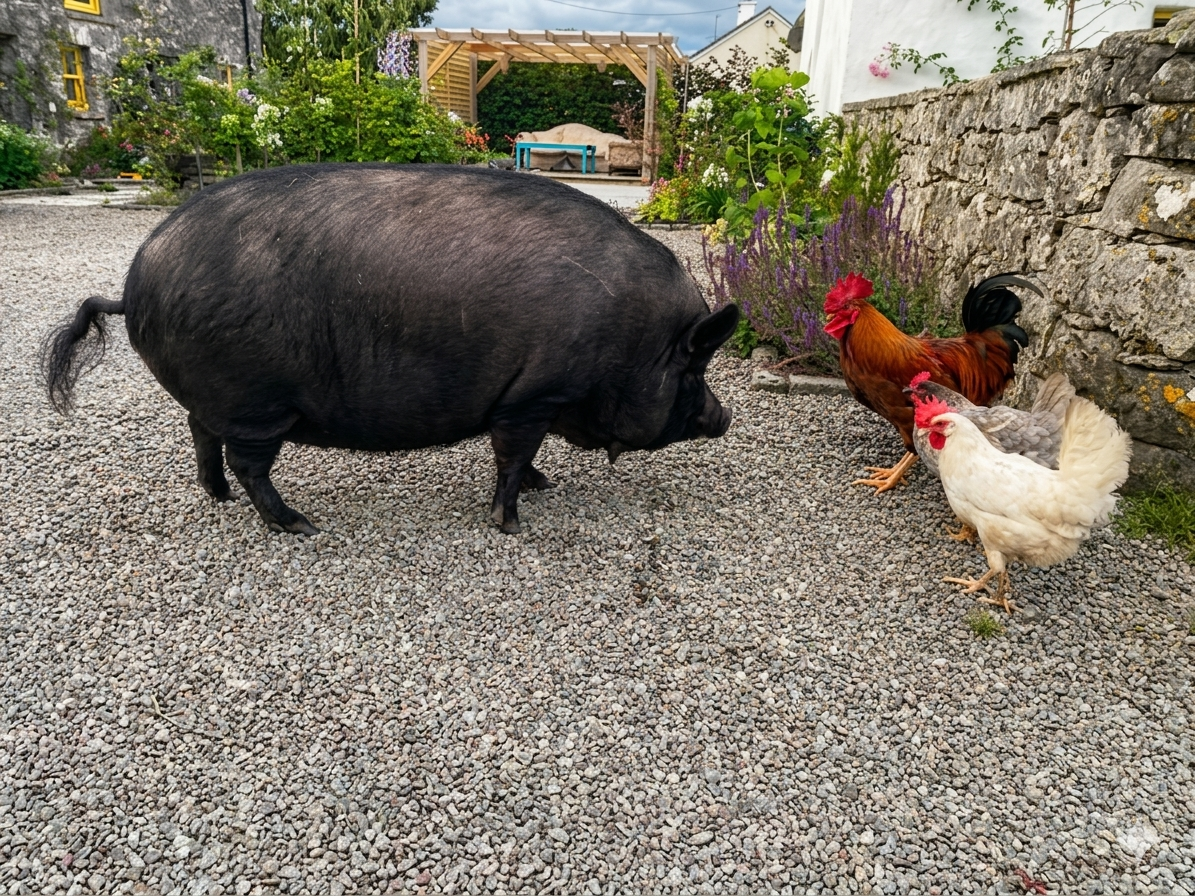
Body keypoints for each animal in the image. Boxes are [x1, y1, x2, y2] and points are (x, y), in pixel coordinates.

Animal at [42, 163, 738, 535]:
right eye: (694, 365)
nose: (725, 414)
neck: (631, 341)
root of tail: (134, 283)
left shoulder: (530, 401)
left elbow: (523, 457)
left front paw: (546, 486)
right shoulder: (534, 394)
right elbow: (511, 456)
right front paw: (511, 524)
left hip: (223, 399)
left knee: (199, 432)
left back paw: (216, 498)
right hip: (254, 400)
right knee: (247, 462)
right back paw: (299, 524)